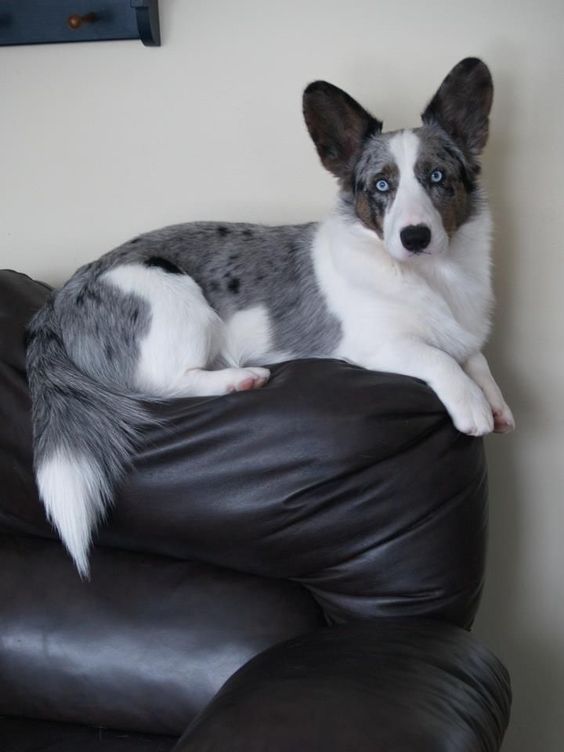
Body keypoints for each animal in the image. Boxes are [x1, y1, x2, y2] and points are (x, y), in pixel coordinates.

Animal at [26, 58, 516, 576]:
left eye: (437, 177)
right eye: (382, 185)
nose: (415, 237)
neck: (431, 276)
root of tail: (61, 298)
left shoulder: (463, 333)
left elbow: (475, 358)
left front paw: (496, 404)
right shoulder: (376, 344)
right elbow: (437, 358)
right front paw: (472, 407)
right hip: (176, 303)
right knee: (163, 385)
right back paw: (239, 379)